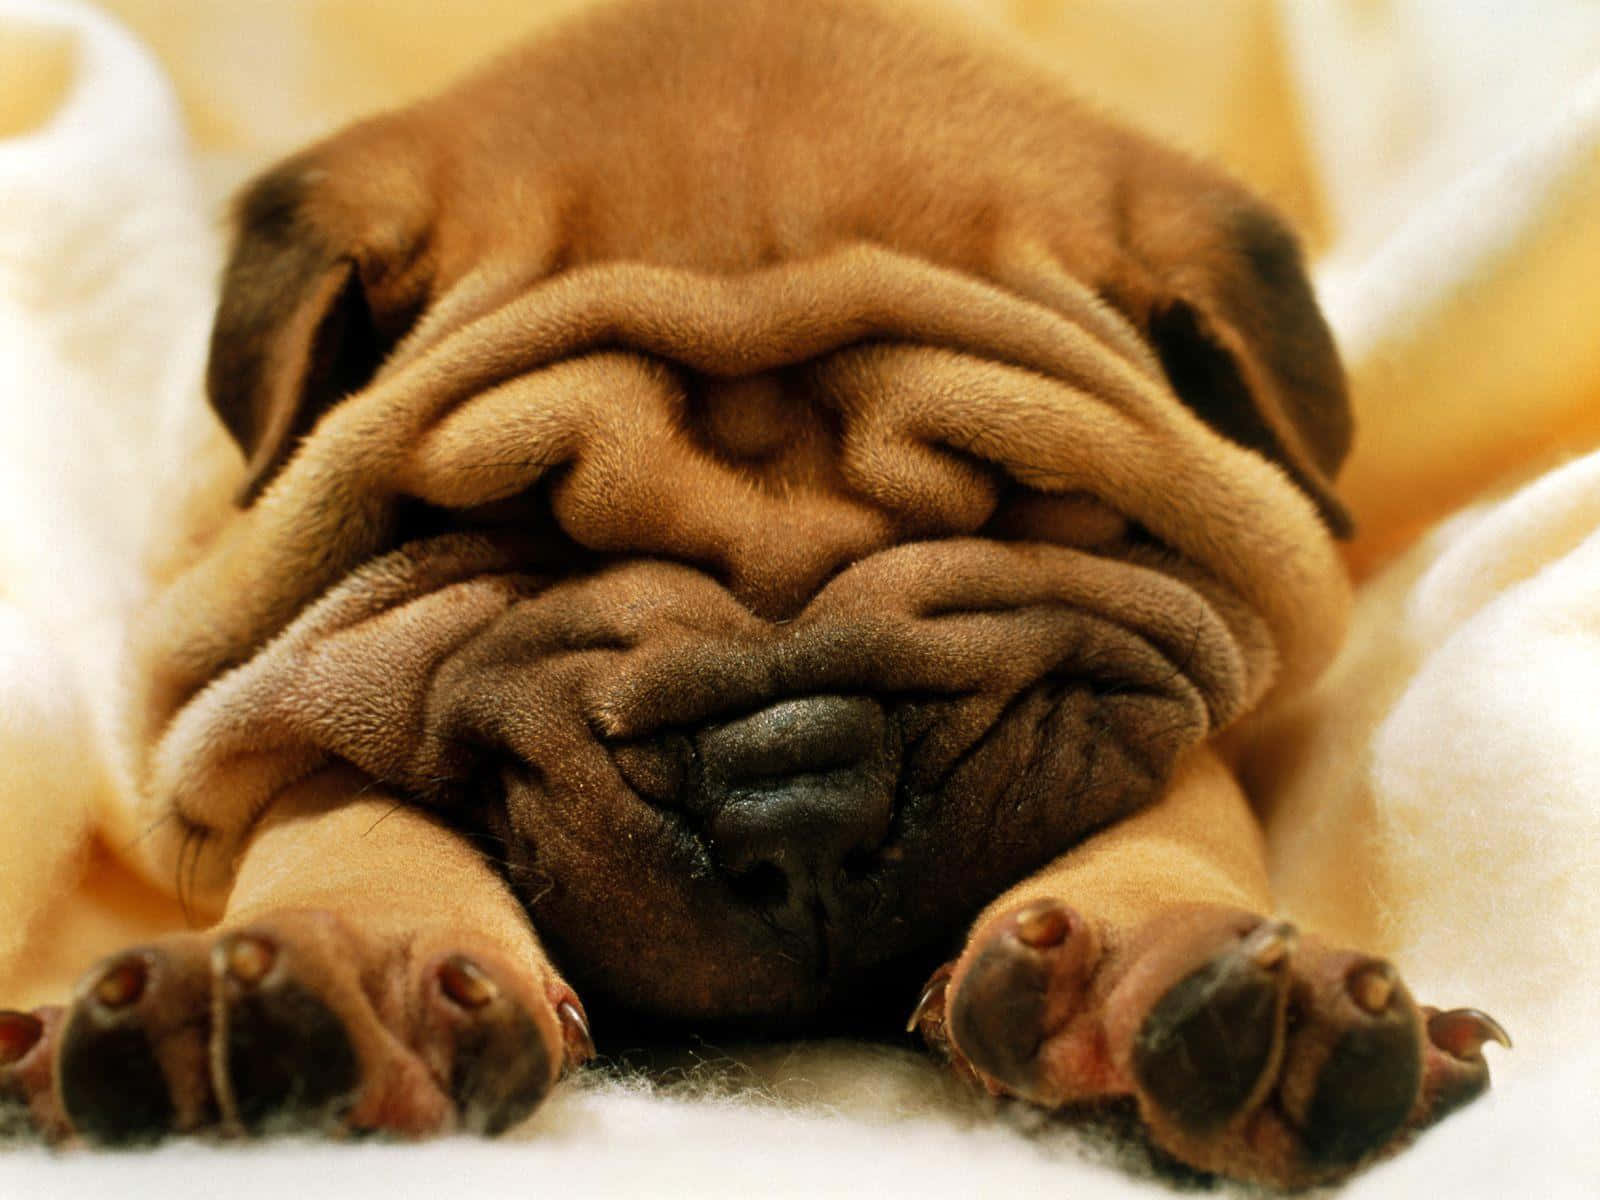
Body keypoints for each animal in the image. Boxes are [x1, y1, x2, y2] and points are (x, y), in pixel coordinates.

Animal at [0, 0, 1504, 1184]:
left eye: (1032, 499)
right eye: (514, 523)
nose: (802, 809)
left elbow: (1174, 796)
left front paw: (1160, 956)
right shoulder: (277, 675)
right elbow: (337, 804)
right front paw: (336, 961)